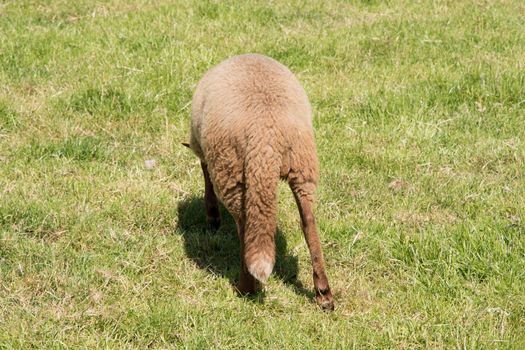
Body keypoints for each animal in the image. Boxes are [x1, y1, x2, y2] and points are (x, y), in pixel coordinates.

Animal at [184, 53, 332, 310]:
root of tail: (265, 135)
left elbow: (206, 180)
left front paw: (212, 218)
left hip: (230, 170)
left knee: (245, 226)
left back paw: (244, 289)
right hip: (303, 164)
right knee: (308, 221)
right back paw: (324, 293)